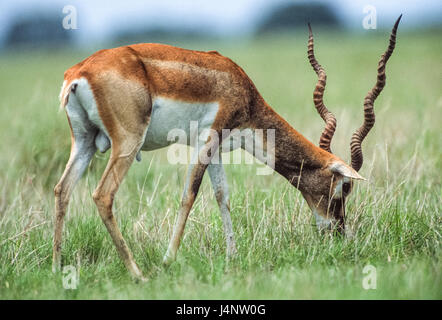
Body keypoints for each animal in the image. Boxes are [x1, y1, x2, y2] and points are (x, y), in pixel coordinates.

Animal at [52, 16, 400, 280]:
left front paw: (232, 257)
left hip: (84, 143)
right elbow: (189, 195)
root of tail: (79, 73)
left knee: (62, 189)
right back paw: (138, 273)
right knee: (102, 195)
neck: (239, 87)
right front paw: (169, 259)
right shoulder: (208, 140)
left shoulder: (218, 149)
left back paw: (57, 268)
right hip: (126, 143)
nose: (338, 232)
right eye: (344, 186)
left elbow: (222, 196)